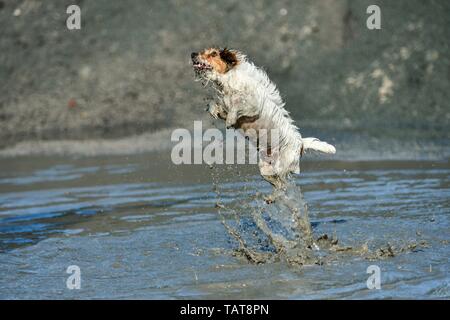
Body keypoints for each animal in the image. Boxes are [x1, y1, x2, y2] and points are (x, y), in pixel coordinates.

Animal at [192, 48, 336, 189]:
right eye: (203, 51)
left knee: (283, 181)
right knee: (278, 184)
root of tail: (300, 143)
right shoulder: (225, 104)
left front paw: (230, 120)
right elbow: (214, 104)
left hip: (282, 165)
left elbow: (237, 106)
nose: (193, 54)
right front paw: (213, 110)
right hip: (265, 167)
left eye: (213, 54)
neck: (228, 81)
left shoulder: (252, 106)